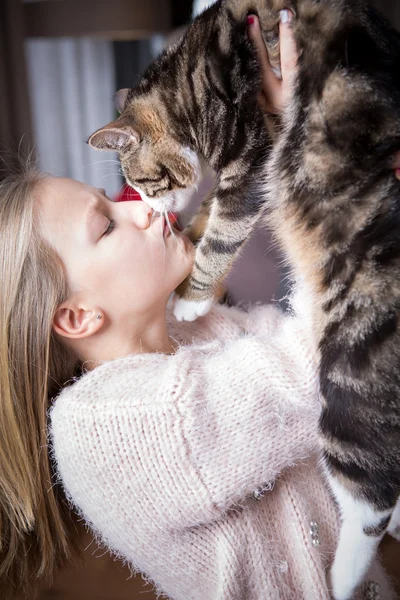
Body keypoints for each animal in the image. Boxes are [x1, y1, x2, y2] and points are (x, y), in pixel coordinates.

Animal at [89, 1, 400, 600]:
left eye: (144, 183)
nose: (149, 211)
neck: (185, 80)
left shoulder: (252, 149)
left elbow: (225, 229)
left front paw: (191, 296)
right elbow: (213, 211)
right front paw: (191, 262)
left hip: (350, 366)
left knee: (370, 492)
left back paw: (343, 574)